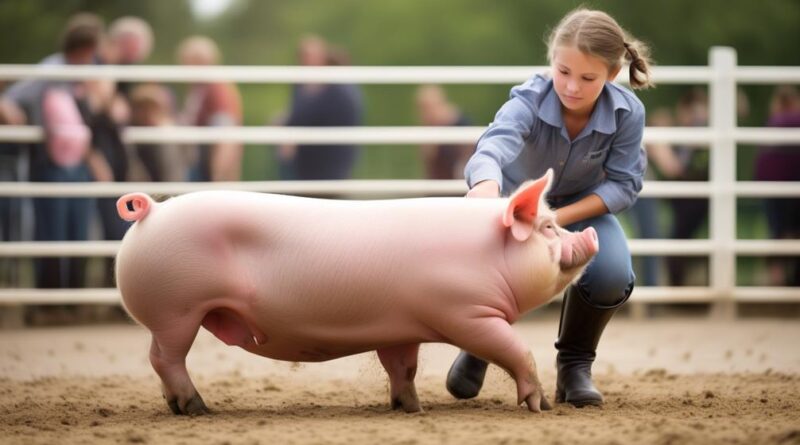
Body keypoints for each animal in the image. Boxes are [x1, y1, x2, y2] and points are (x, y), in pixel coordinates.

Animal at [115, 168, 596, 414]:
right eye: (548, 228)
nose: (589, 234)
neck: (487, 254)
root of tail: (150, 211)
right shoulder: (466, 314)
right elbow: (515, 349)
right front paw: (539, 407)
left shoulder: (402, 327)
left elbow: (403, 367)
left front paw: (410, 408)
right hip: (176, 309)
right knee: (164, 358)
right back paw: (197, 408)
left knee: (160, 359)